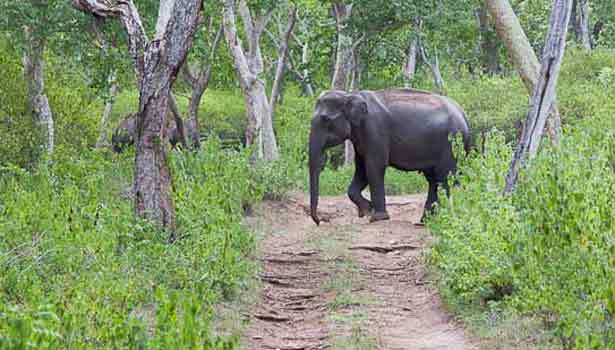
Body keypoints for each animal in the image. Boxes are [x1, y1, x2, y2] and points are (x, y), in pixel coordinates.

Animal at [308, 87, 472, 224]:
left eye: (325, 120)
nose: (320, 221)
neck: (351, 94)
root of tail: (464, 115)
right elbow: (361, 169)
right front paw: (367, 210)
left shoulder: (375, 130)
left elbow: (374, 166)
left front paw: (377, 217)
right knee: (434, 180)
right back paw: (425, 221)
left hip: (451, 144)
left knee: (447, 178)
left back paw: (451, 217)